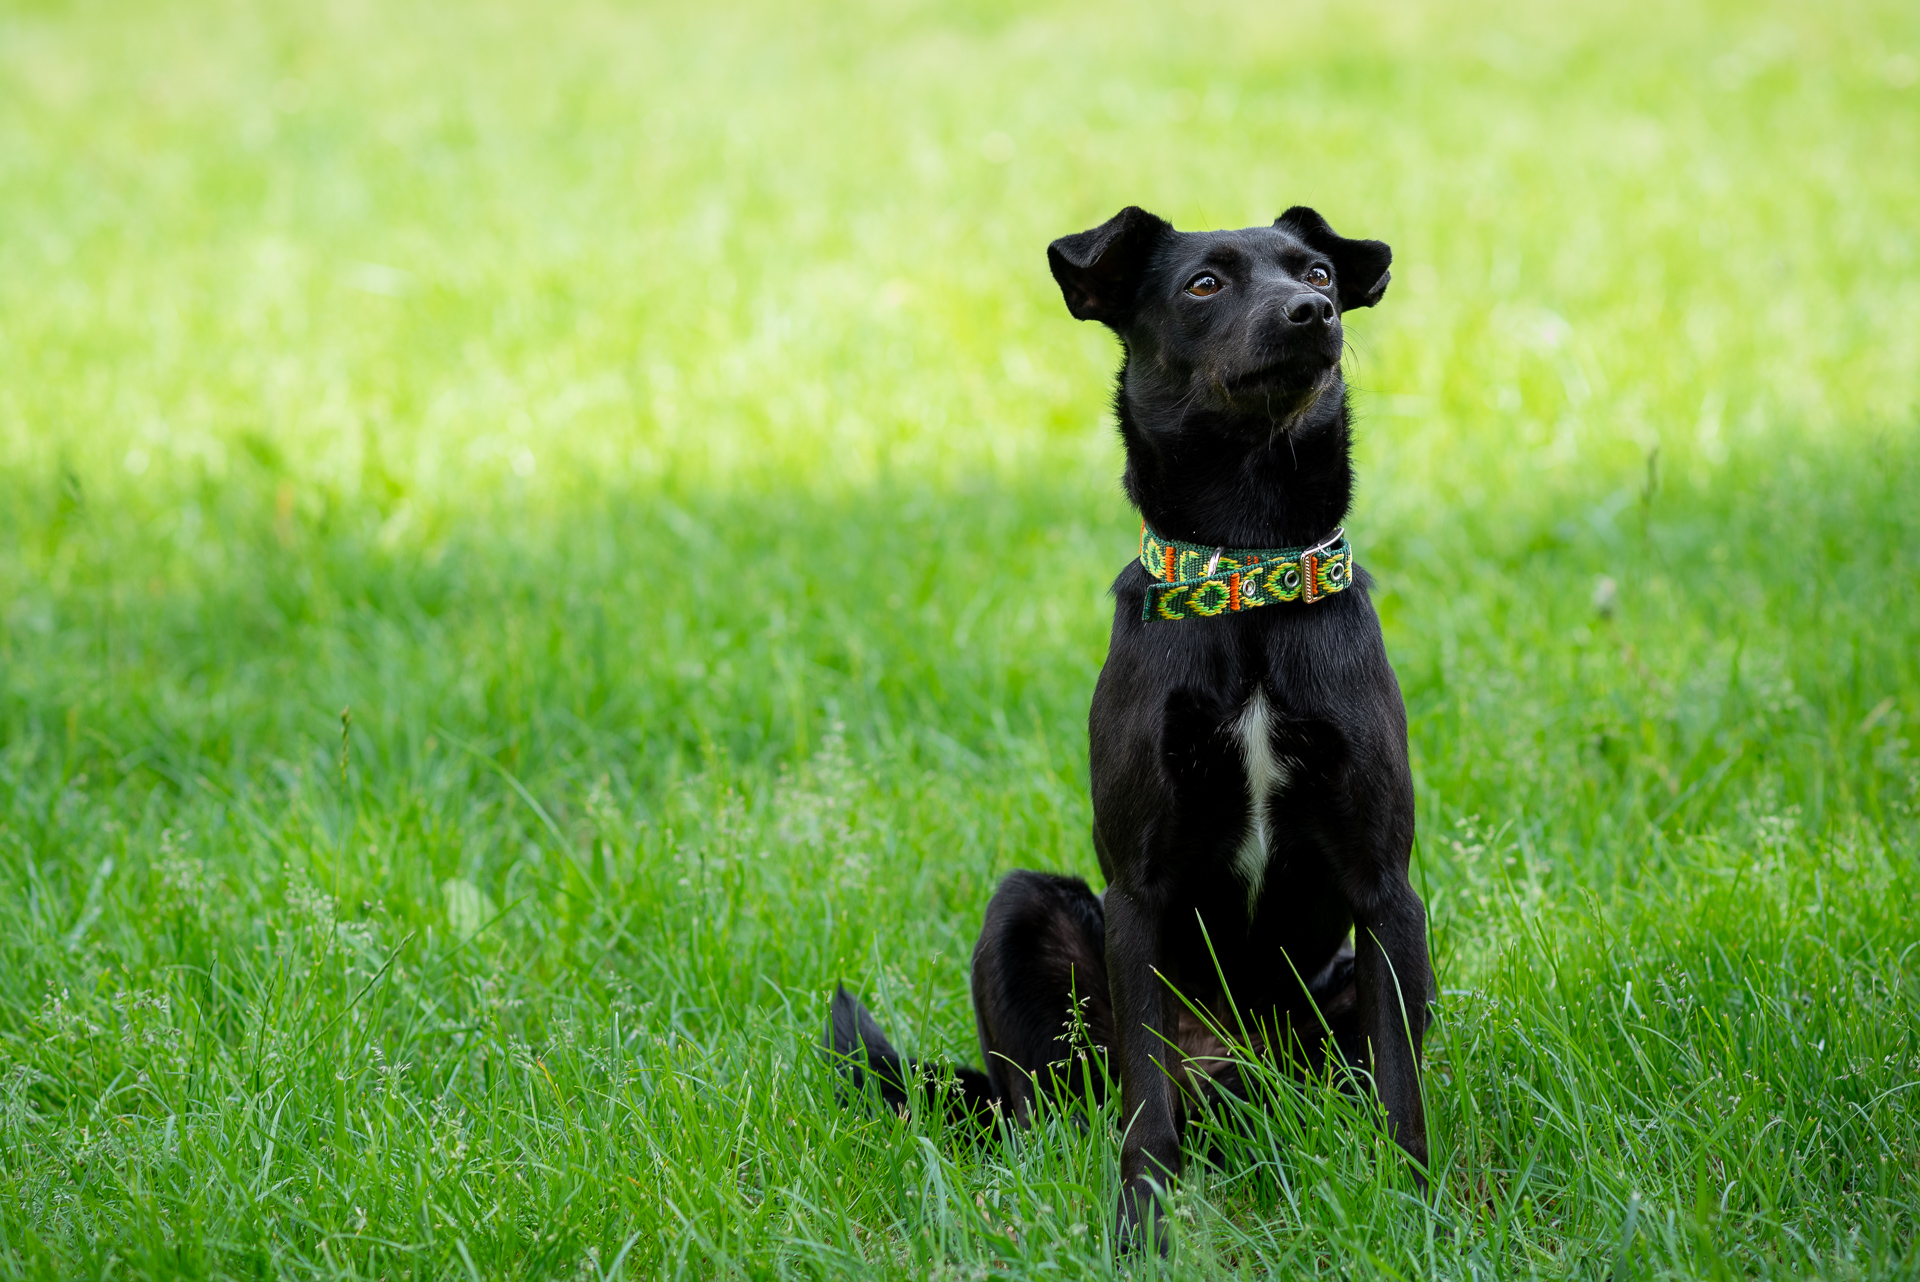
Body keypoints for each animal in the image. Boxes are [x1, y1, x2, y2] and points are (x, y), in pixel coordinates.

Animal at [833, 208, 1436, 1251]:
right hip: (1028, 920)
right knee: (1050, 1113)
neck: (1245, 574)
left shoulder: (1386, 893)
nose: (1313, 312)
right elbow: (1145, 1110)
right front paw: (1142, 1231)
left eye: (1318, 271)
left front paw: (1419, 1217)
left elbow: (1402, 1092)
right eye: (1203, 285)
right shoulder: (1139, 893)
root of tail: (1236, 1084)